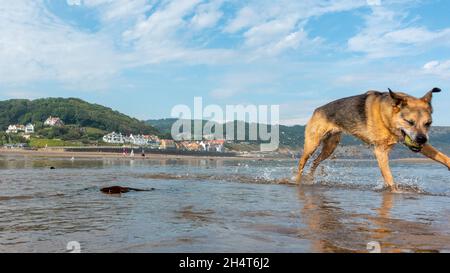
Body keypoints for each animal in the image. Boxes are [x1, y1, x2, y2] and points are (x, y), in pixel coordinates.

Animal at [296, 87, 450, 191]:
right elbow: (389, 178)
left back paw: (310, 178)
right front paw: (396, 191)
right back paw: (297, 180)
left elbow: (443, 157)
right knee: (302, 163)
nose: (422, 140)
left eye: (428, 123)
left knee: (315, 162)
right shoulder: (380, 151)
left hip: (330, 146)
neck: (387, 116)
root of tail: (317, 110)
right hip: (312, 144)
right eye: (409, 122)